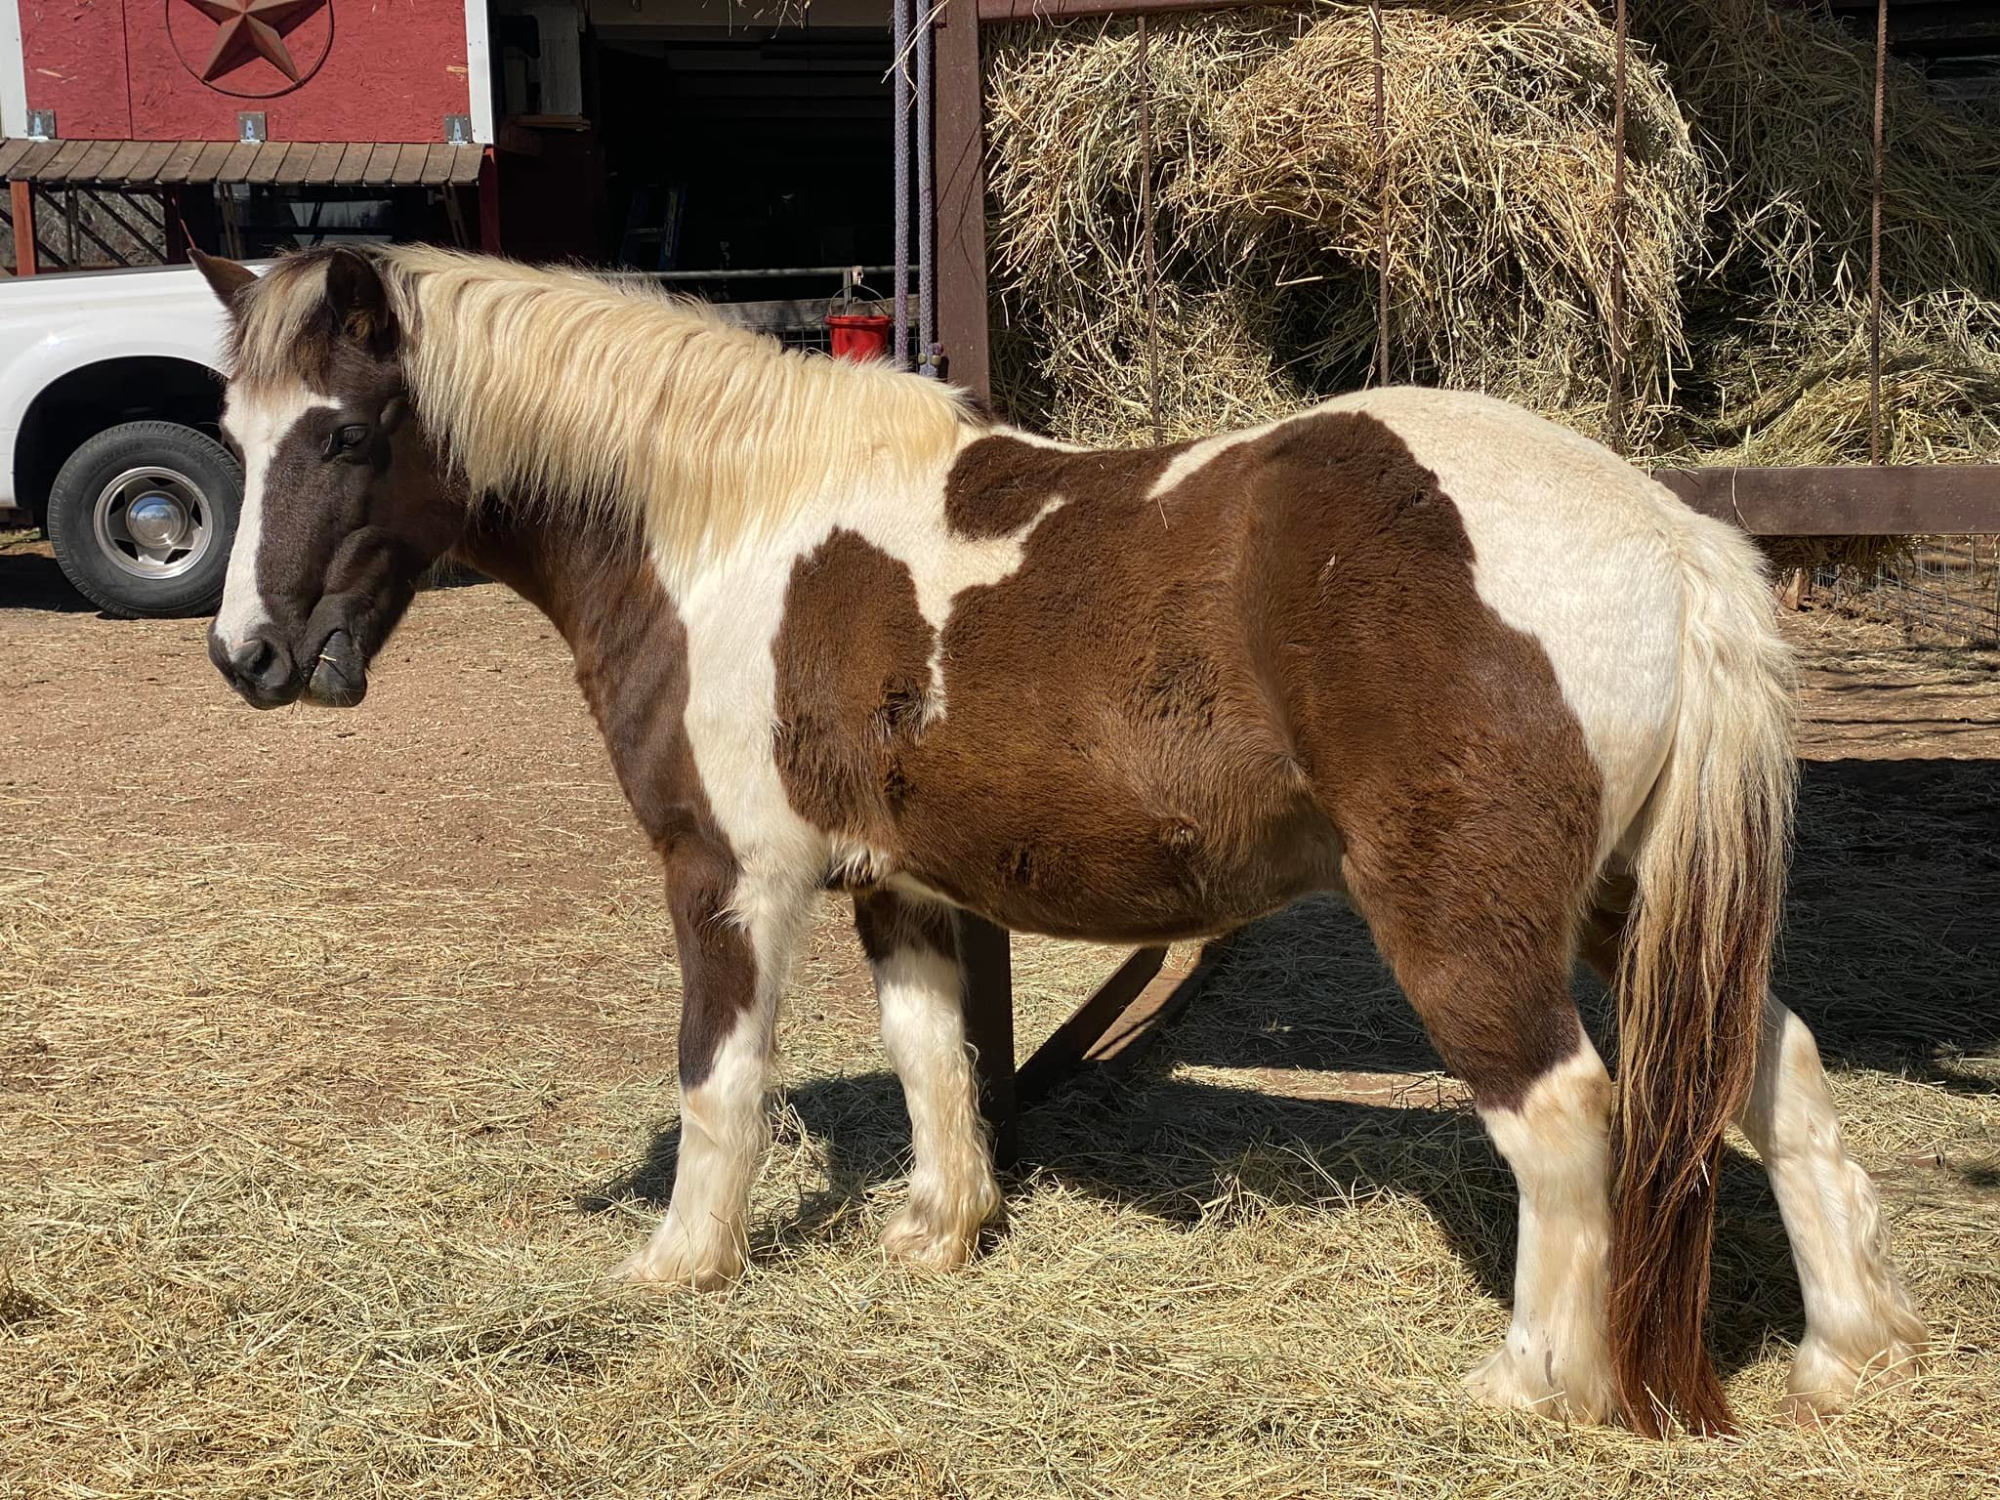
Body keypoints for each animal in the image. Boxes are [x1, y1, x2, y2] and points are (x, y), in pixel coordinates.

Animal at [188, 244, 1925, 1438]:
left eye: (342, 436)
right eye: (234, 431)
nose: (248, 659)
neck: (728, 524)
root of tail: (1670, 536)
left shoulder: (729, 879)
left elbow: (719, 1082)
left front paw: (679, 1264)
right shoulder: (898, 886)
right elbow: (934, 1058)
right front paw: (935, 1236)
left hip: (1473, 923)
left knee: (1566, 1119)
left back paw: (1525, 1381)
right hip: (1635, 905)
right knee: (1779, 1082)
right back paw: (1846, 1356)